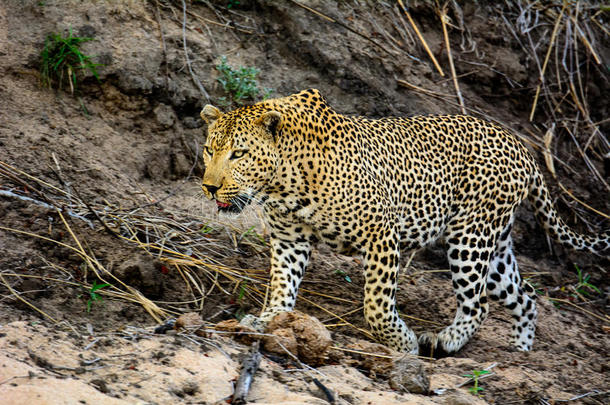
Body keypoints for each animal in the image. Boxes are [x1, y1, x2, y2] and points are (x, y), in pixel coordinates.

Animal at [197, 89, 604, 356]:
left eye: (239, 153)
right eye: (209, 150)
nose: (209, 186)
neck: (282, 181)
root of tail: (522, 147)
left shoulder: (379, 235)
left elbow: (376, 305)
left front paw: (402, 343)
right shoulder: (289, 240)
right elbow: (282, 287)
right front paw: (269, 321)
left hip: (469, 237)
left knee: (480, 304)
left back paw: (447, 340)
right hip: (495, 244)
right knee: (525, 295)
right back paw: (520, 349)